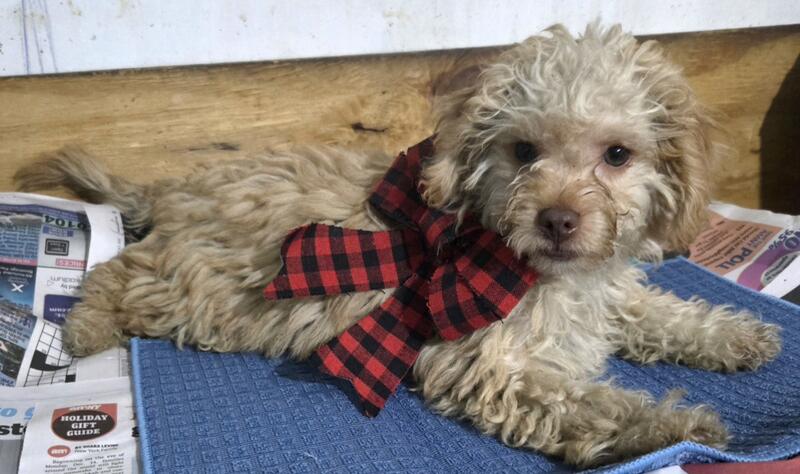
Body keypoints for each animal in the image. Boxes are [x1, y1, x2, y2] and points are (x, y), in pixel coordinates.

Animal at [14, 24, 781, 467]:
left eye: (617, 155)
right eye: (523, 151)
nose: (559, 220)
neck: (530, 268)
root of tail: (174, 190)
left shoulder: (604, 295)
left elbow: (658, 313)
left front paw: (734, 336)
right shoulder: (488, 362)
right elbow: (592, 404)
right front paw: (678, 424)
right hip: (198, 286)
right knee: (119, 273)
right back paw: (82, 326)